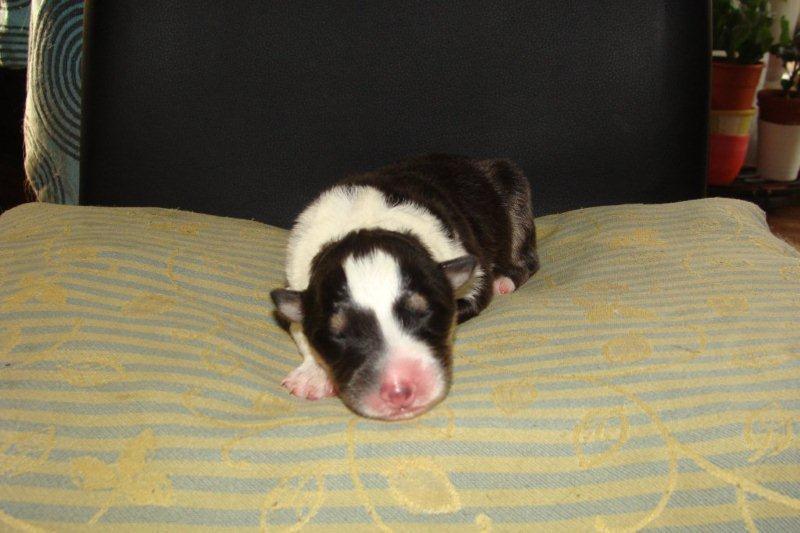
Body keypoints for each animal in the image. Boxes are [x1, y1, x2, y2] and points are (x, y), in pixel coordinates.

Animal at [271, 154, 538, 420]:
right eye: (339, 334)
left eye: (424, 314)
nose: (399, 389)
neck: (364, 224)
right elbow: (298, 327)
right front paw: (313, 375)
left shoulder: (475, 277)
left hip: (513, 189)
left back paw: (505, 279)